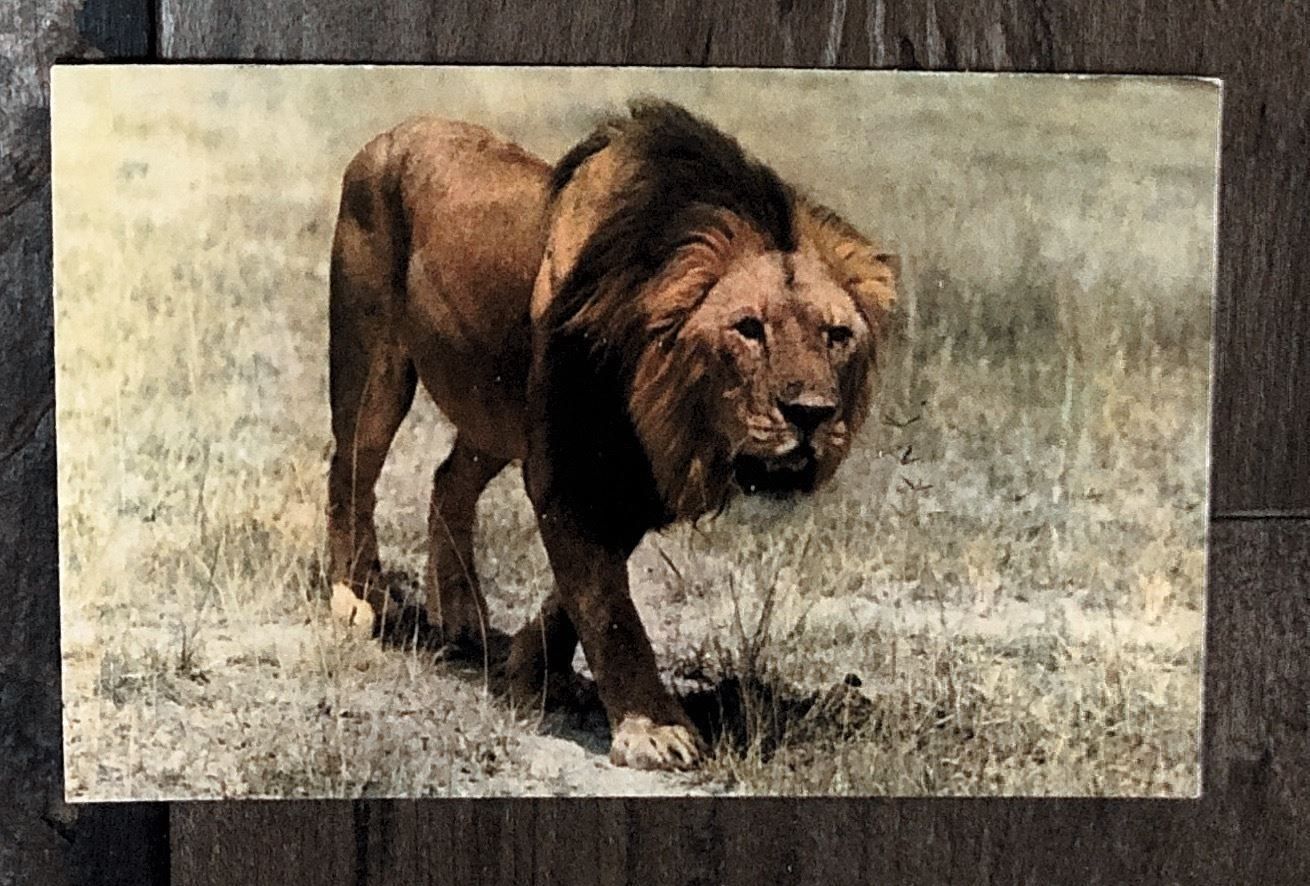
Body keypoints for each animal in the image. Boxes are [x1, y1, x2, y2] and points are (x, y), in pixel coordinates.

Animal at [326, 101, 897, 771]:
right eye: (748, 328)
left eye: (837, 335)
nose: (811, 414)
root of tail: (391, 133)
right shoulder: (568, 466)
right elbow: (609, 606)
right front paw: (653, 728)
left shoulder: (633, 474)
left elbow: (586, 587)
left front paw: (533, 669)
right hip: (373, 366)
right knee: (350, 472)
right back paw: (356, 596)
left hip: (496, 409)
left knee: (449, 481)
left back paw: (462, 614)